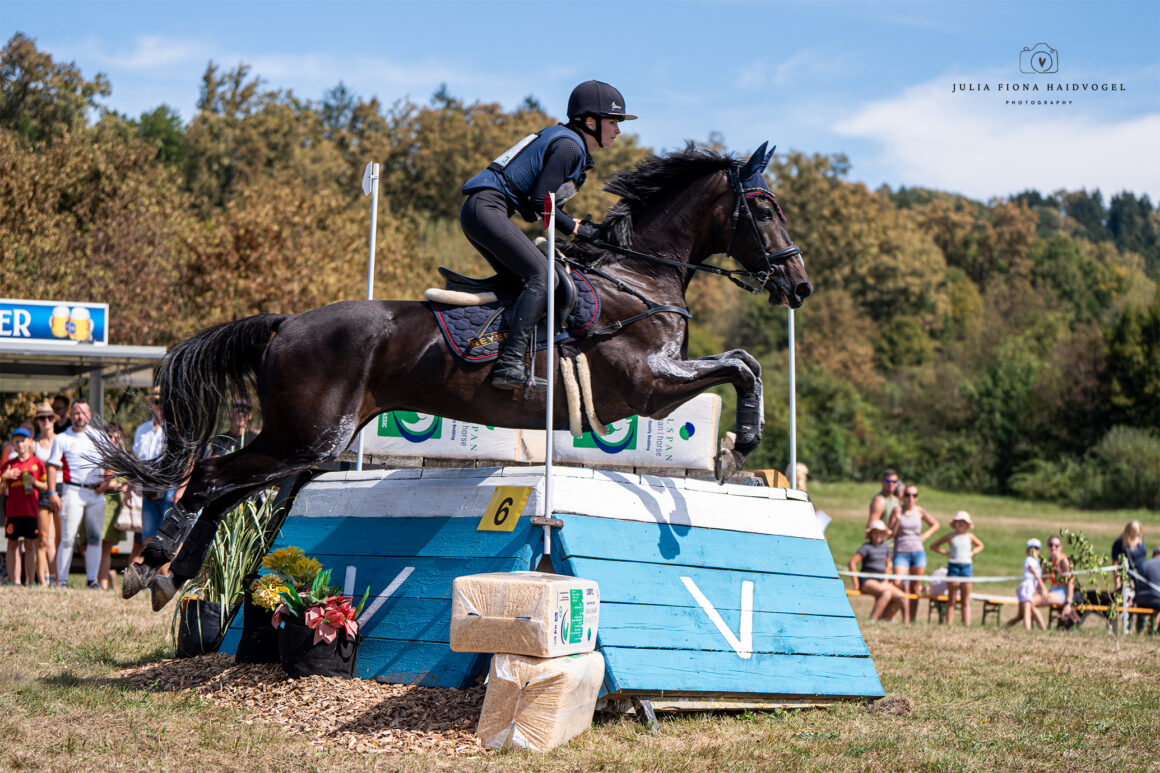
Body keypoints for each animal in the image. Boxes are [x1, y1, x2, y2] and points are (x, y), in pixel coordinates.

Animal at [110, 141, 816, 603]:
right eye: (764, 206)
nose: (799, 285)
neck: (638, 275)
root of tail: (286, 323)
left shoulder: (659, 382)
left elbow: (744, 363)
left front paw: (735, 449)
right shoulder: (650, 385)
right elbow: (741, 366)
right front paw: (740, 444)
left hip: (313, 441)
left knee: (227, 487)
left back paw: (174, 575)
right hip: (307, 436)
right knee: (211, 476)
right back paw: (152, 564)